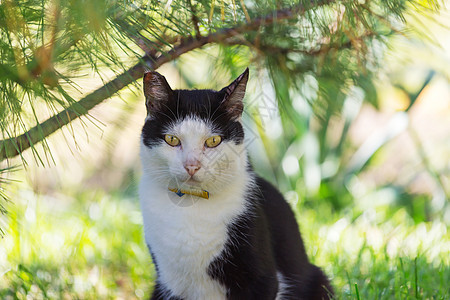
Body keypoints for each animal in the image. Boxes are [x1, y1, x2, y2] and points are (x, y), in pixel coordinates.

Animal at [139, 68, 332, 300]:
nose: (192, 166)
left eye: (213, 141)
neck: (192, 206)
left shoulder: (263, 280)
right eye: (172, 139)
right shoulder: (169, 283)